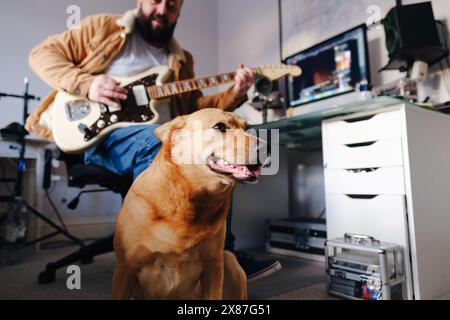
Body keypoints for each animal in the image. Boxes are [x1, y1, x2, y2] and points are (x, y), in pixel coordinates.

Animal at [111, 108, 264, 300]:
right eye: (220, 127)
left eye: (246, 127)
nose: (267, 148)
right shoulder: (125, 269)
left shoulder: (213, 265)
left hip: (229, 261)